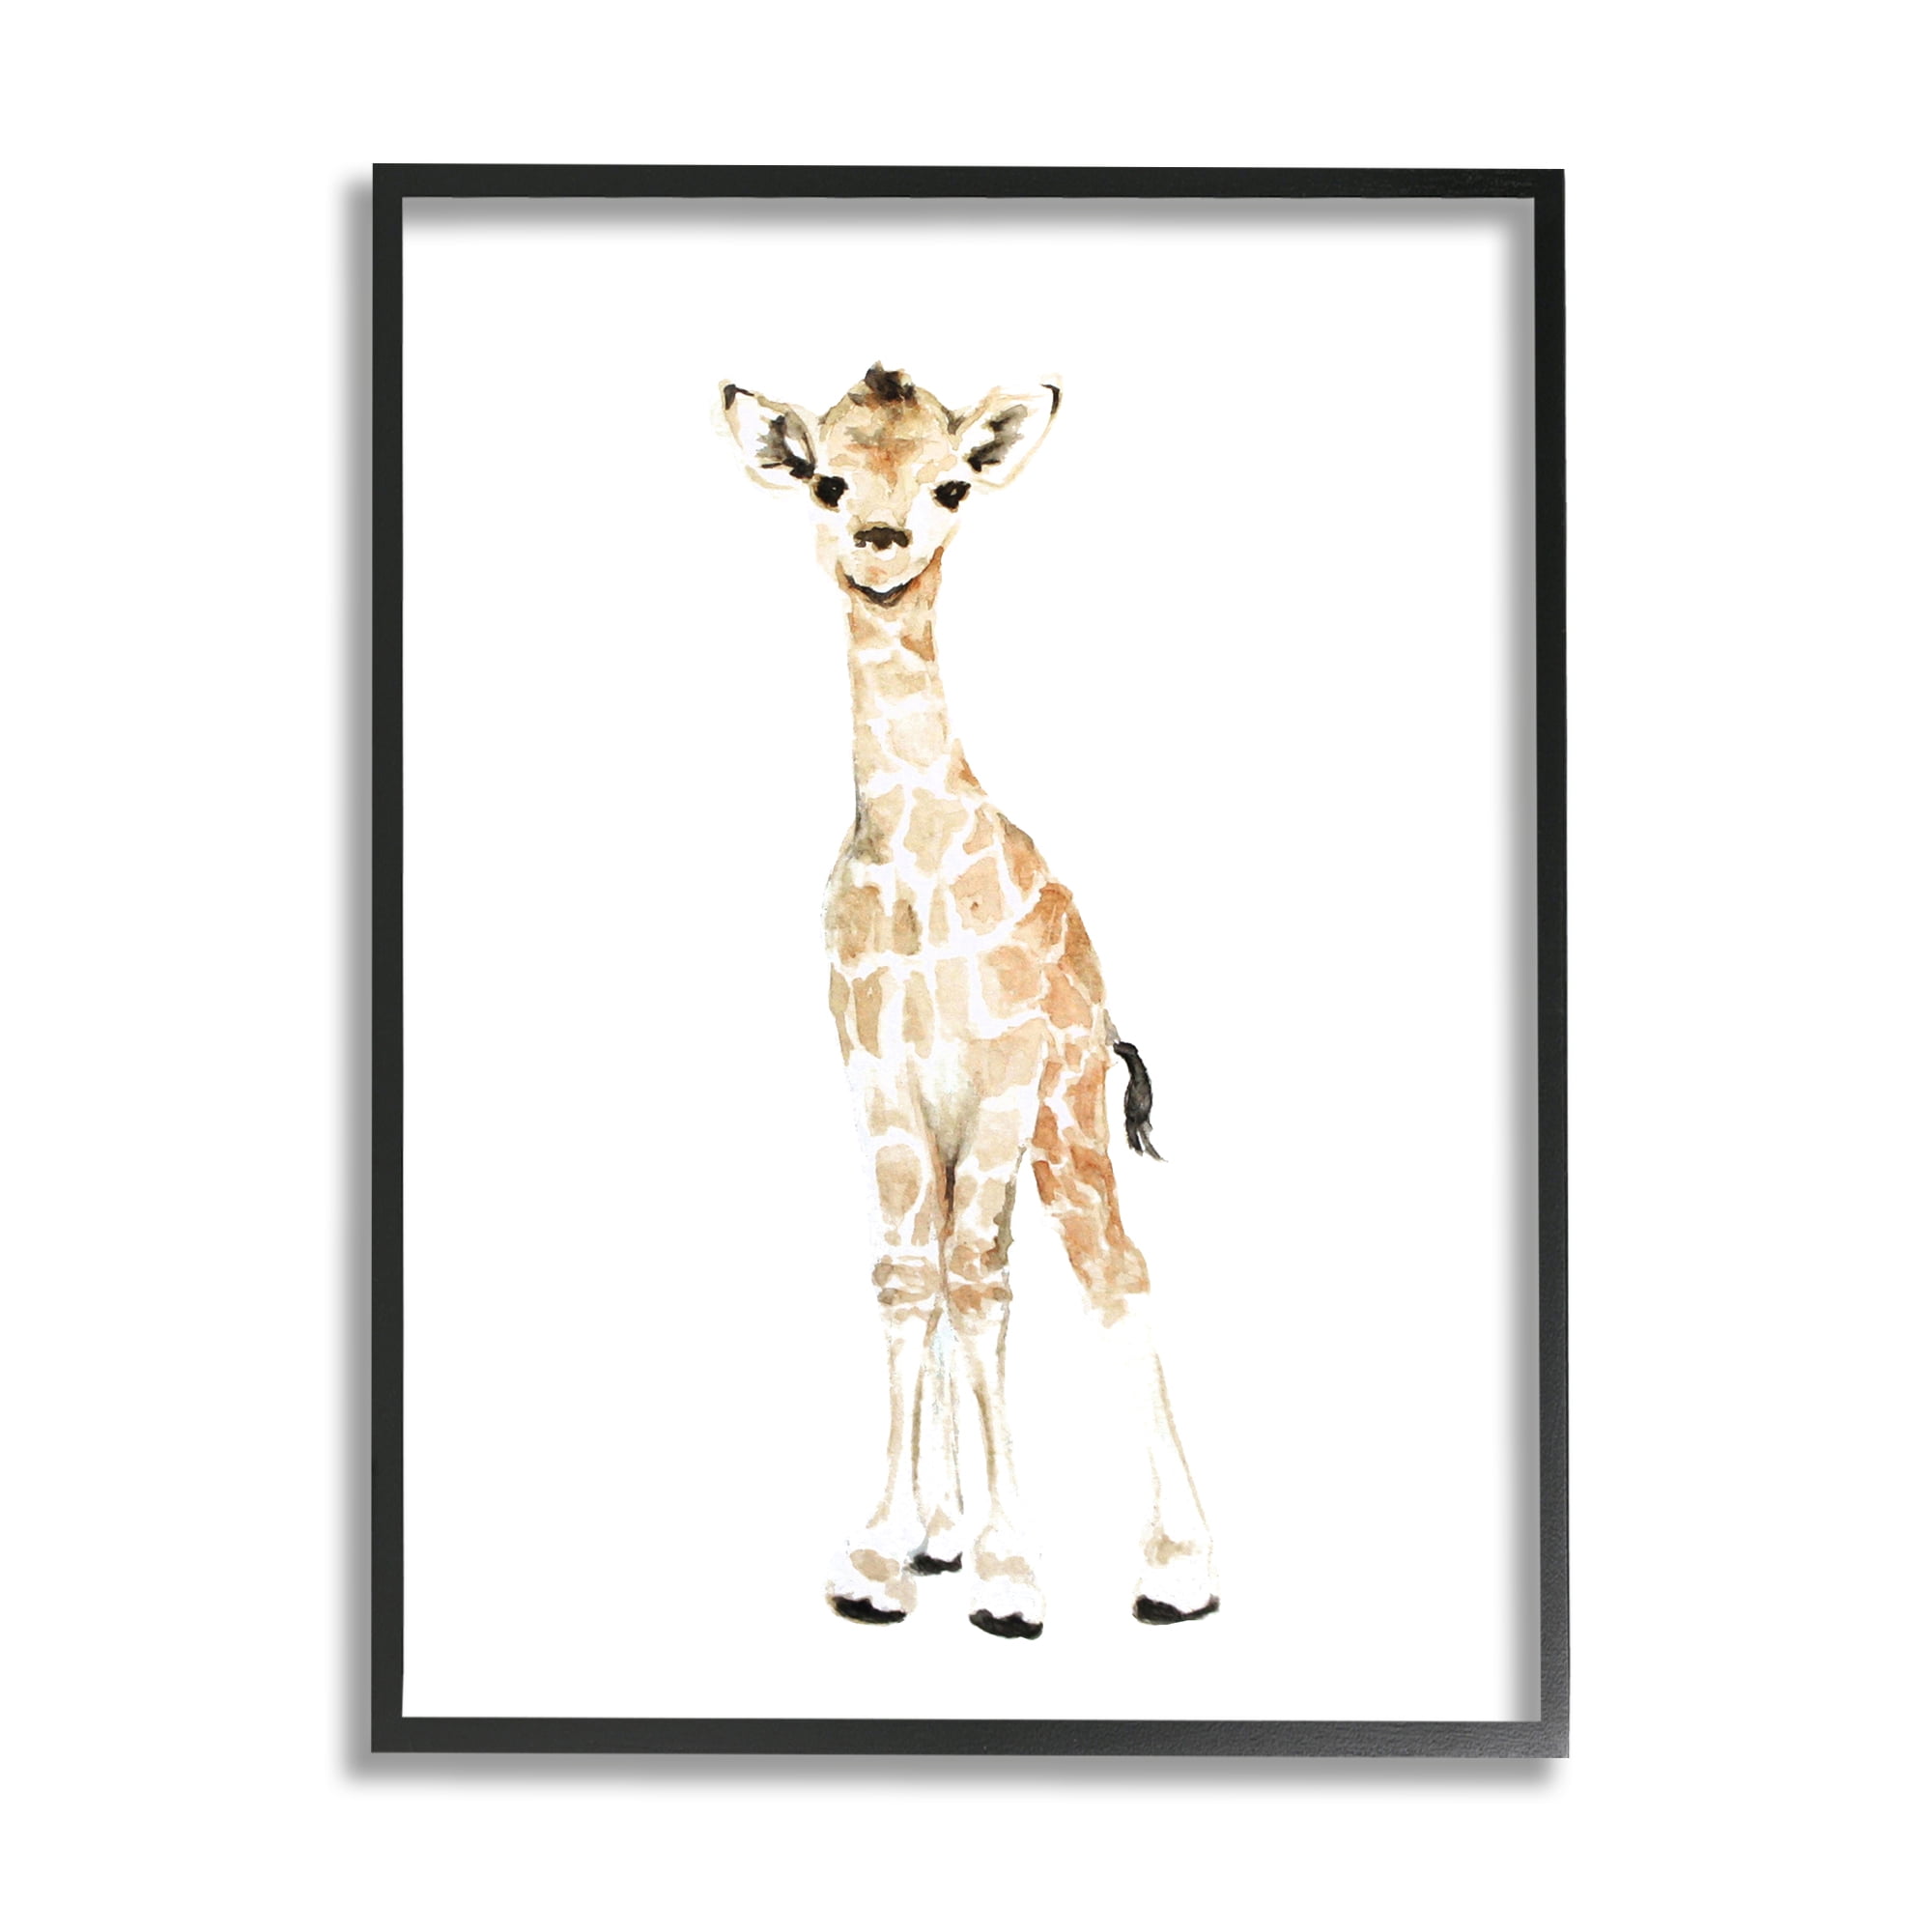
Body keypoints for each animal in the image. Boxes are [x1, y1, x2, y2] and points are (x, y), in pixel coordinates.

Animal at [721, 364, 1217, 1639]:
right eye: (824, 477)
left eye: (950, 483)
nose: (880, 542)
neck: (909, 855)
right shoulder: (877, 1079)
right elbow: (911, 1278)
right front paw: (880, 1555)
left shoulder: (996, 1075)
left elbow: (981, 1282)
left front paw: (1010, 1573)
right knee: (961, 1268)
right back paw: (941, 1534)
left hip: (1063, 1116)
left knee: (1110, 1270)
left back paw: (1177, 1565)